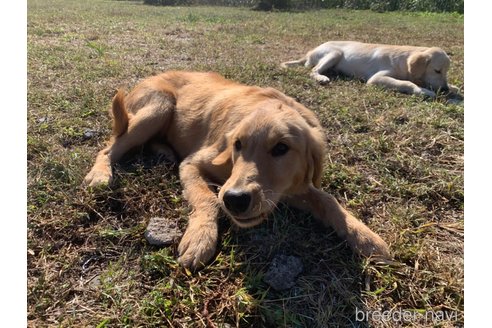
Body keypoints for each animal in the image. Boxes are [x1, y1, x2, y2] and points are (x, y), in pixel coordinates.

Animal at [85, 71, 392, 270]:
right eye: (237, 144)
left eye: (281, 148)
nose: (235, 199)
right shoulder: (193, 164)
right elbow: (208, 199)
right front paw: (200, 238)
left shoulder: (291, 187)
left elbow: (329, 201)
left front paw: (366, 237)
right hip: (159, 106)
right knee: (109, 147)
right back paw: (101, 173)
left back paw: (164, 151)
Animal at [282, 40, 460, 97]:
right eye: (437, 70)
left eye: (446, 72)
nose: (444, 89)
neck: (402, 60)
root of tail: (310, 52)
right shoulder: (376, 78)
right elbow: (406, 83)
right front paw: (423, 91)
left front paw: (453, 87)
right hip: (335, 53)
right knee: (313, 71)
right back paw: (322, 77)